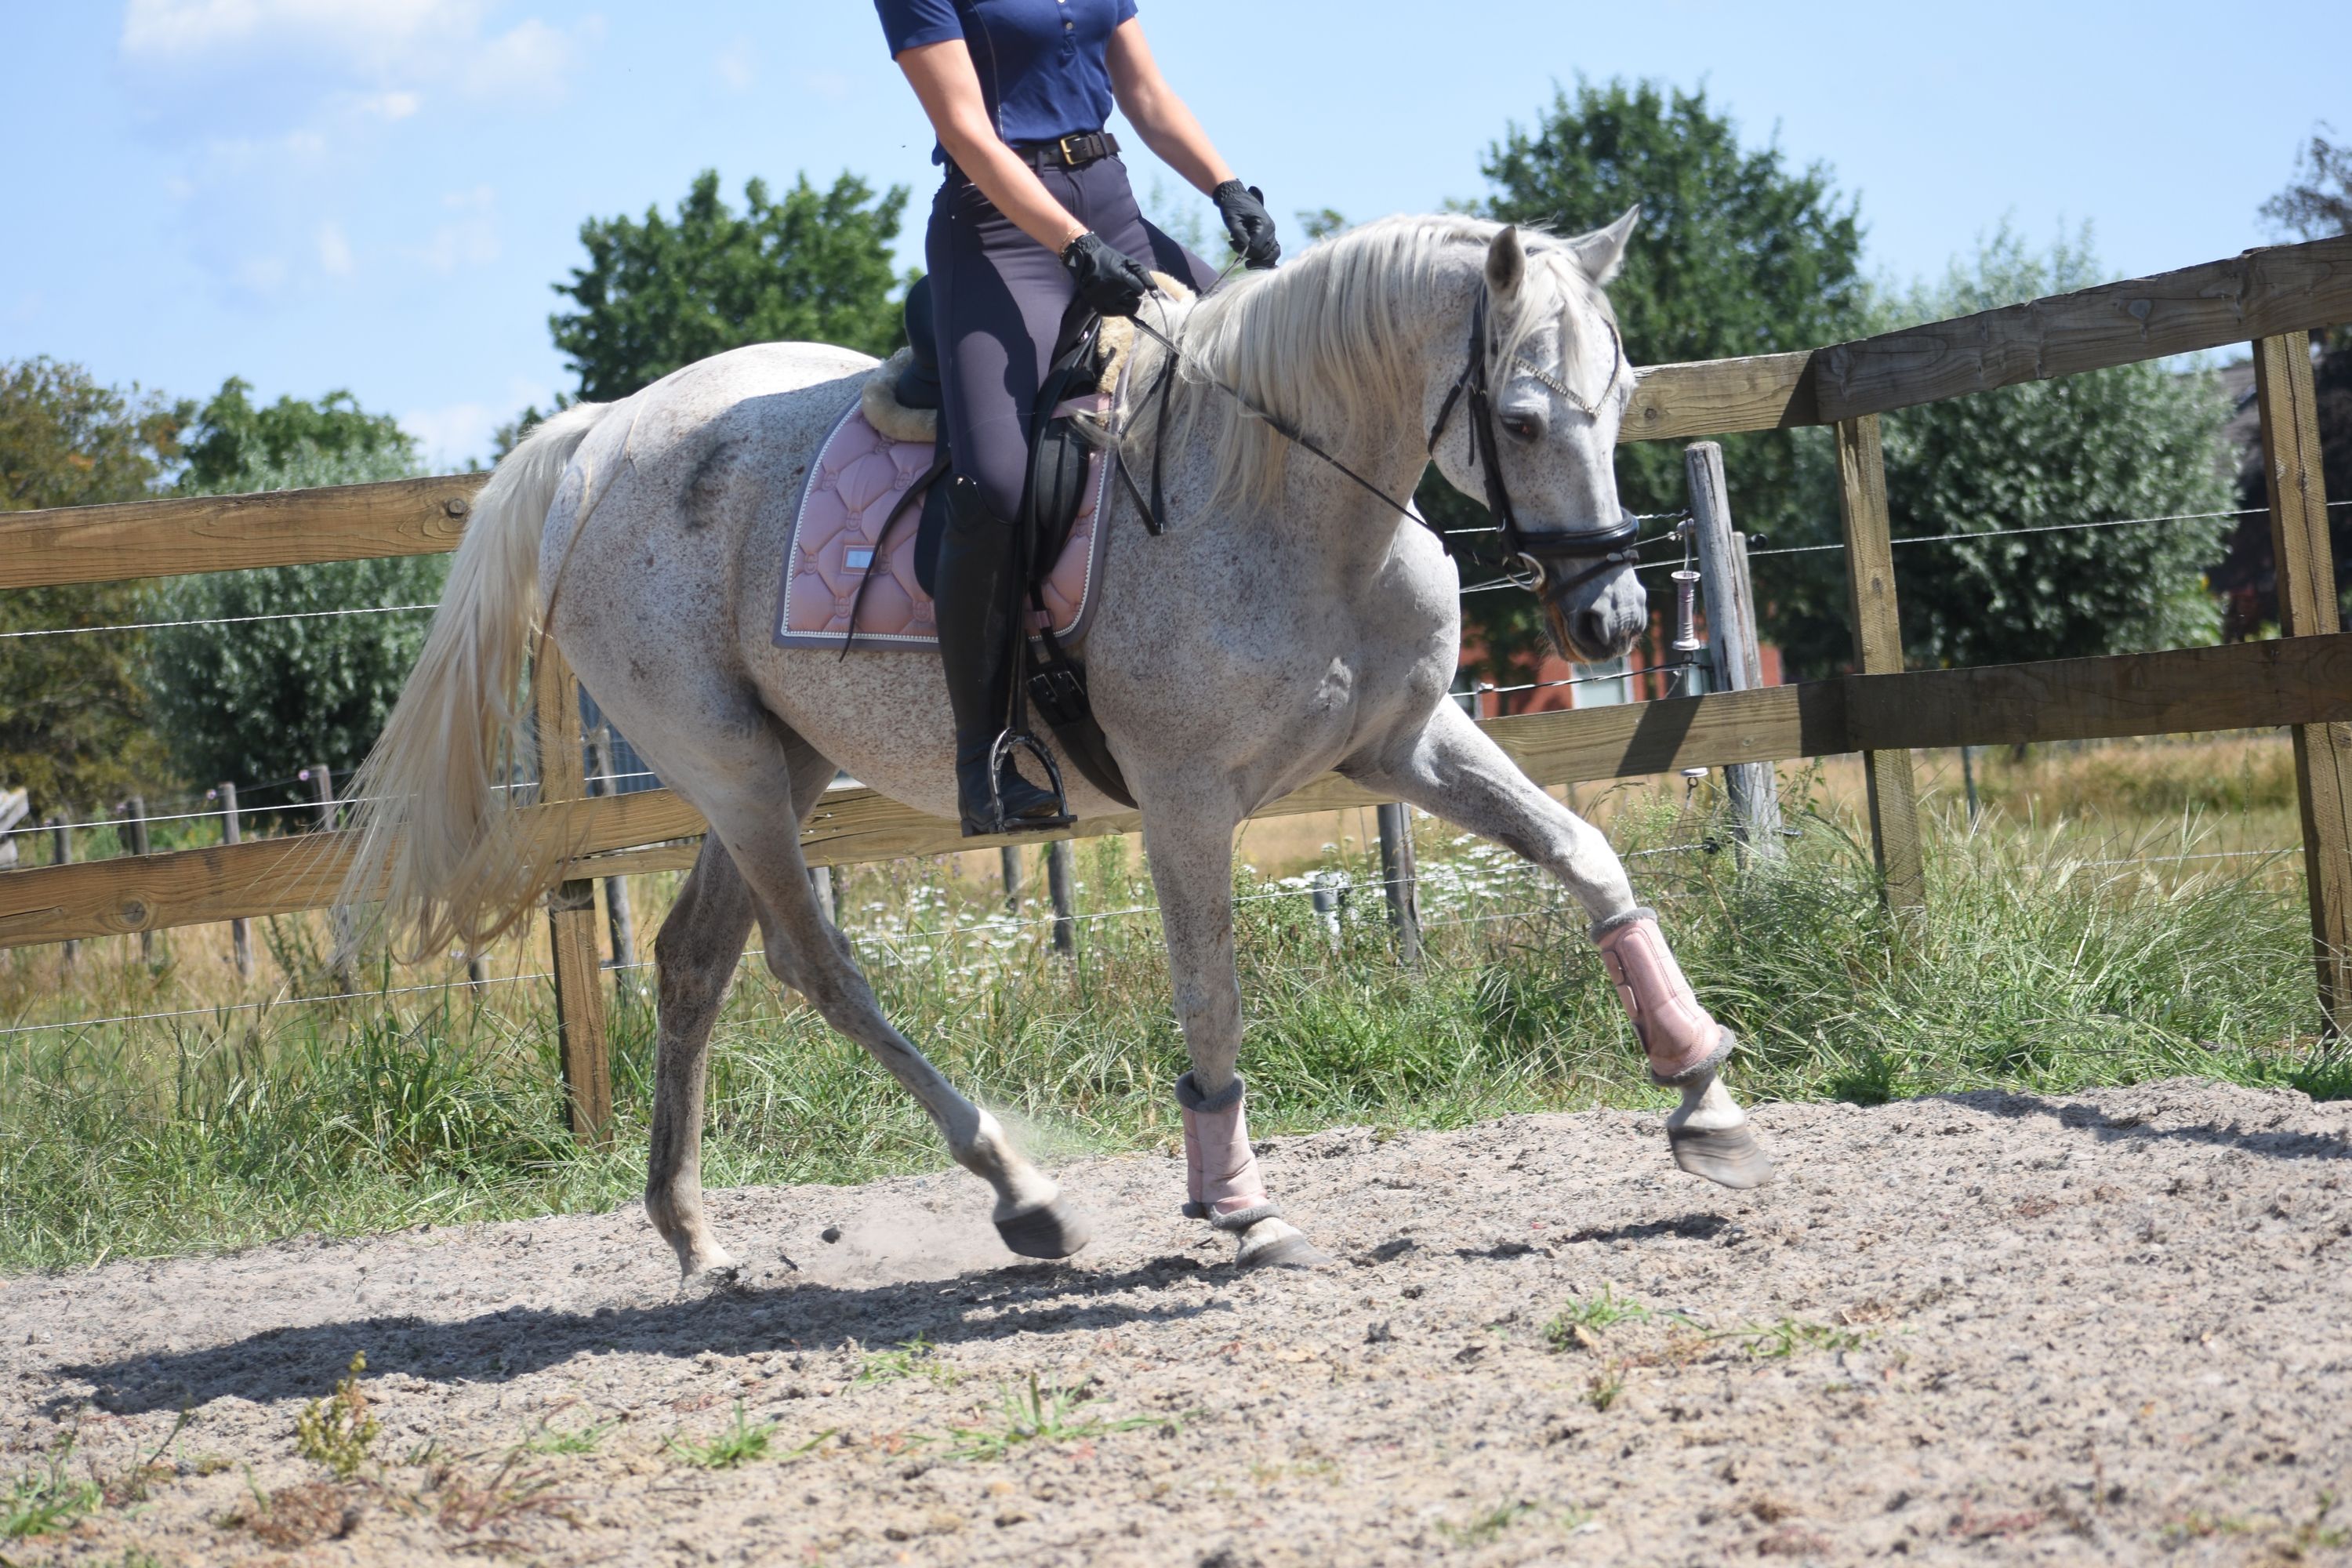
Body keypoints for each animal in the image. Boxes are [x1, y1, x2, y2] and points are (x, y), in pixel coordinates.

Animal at [344, 210, 1774, 1282]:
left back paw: (695, 1239)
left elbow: (1585, 855)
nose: (1611, 614)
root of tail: (601, 436)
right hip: (734, 775)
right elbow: (1211, 994)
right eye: (1521, 418)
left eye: (1622, 394)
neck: (1286, 497)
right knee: (818, 973)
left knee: (694, 963)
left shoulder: (1403, 744)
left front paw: (1702, 1091)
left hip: (776, 768)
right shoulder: (1189, 800)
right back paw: (1023, 1194)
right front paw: (1241, 1205)